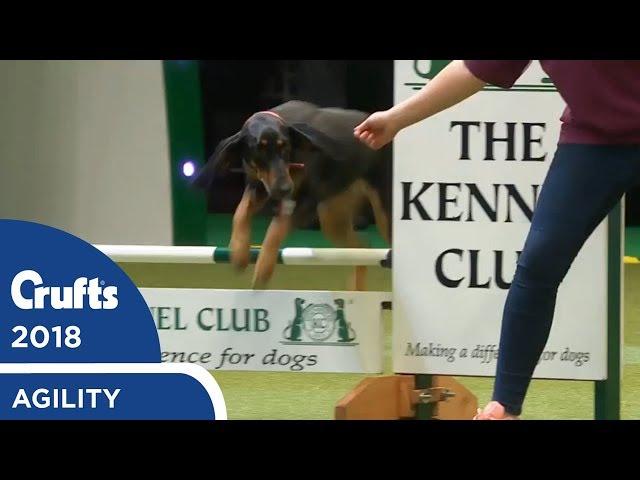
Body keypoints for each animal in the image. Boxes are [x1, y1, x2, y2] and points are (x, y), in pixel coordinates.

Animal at [192, 100, 390, 288]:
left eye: (284, 147)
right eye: (259, 150)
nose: (285, 189)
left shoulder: (306, 201)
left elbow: (276, 228)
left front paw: (263, 269)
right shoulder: (259, 187)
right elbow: (240, 212)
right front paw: (239, 252)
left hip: (383, 214)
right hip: (332, 215)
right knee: (362, 246)